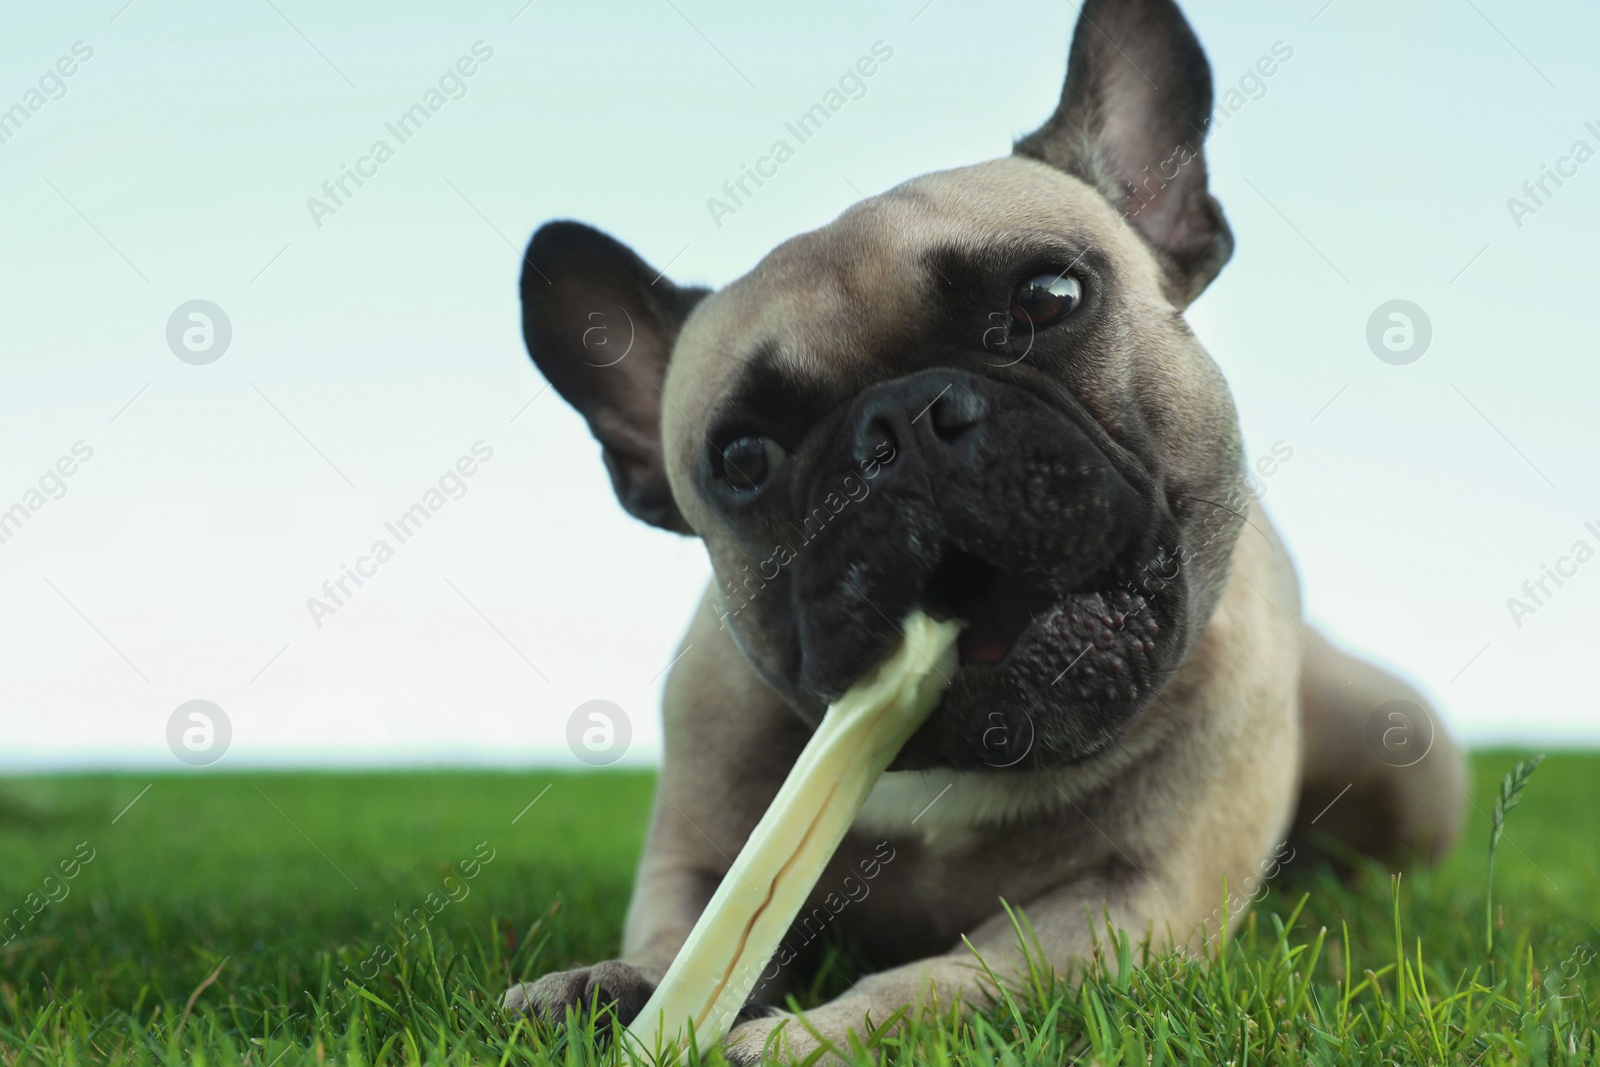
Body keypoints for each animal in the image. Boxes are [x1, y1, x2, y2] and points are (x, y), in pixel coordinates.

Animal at [499, 0, 1465, 1055]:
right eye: (743, 458)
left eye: (1048, 298)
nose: (899, 424)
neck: (957, 762)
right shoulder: (702, 855)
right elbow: (689, 936)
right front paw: (617, 985)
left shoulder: (1132, 903)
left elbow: (945, 980)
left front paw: (813, 1034)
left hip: (1401, 748)